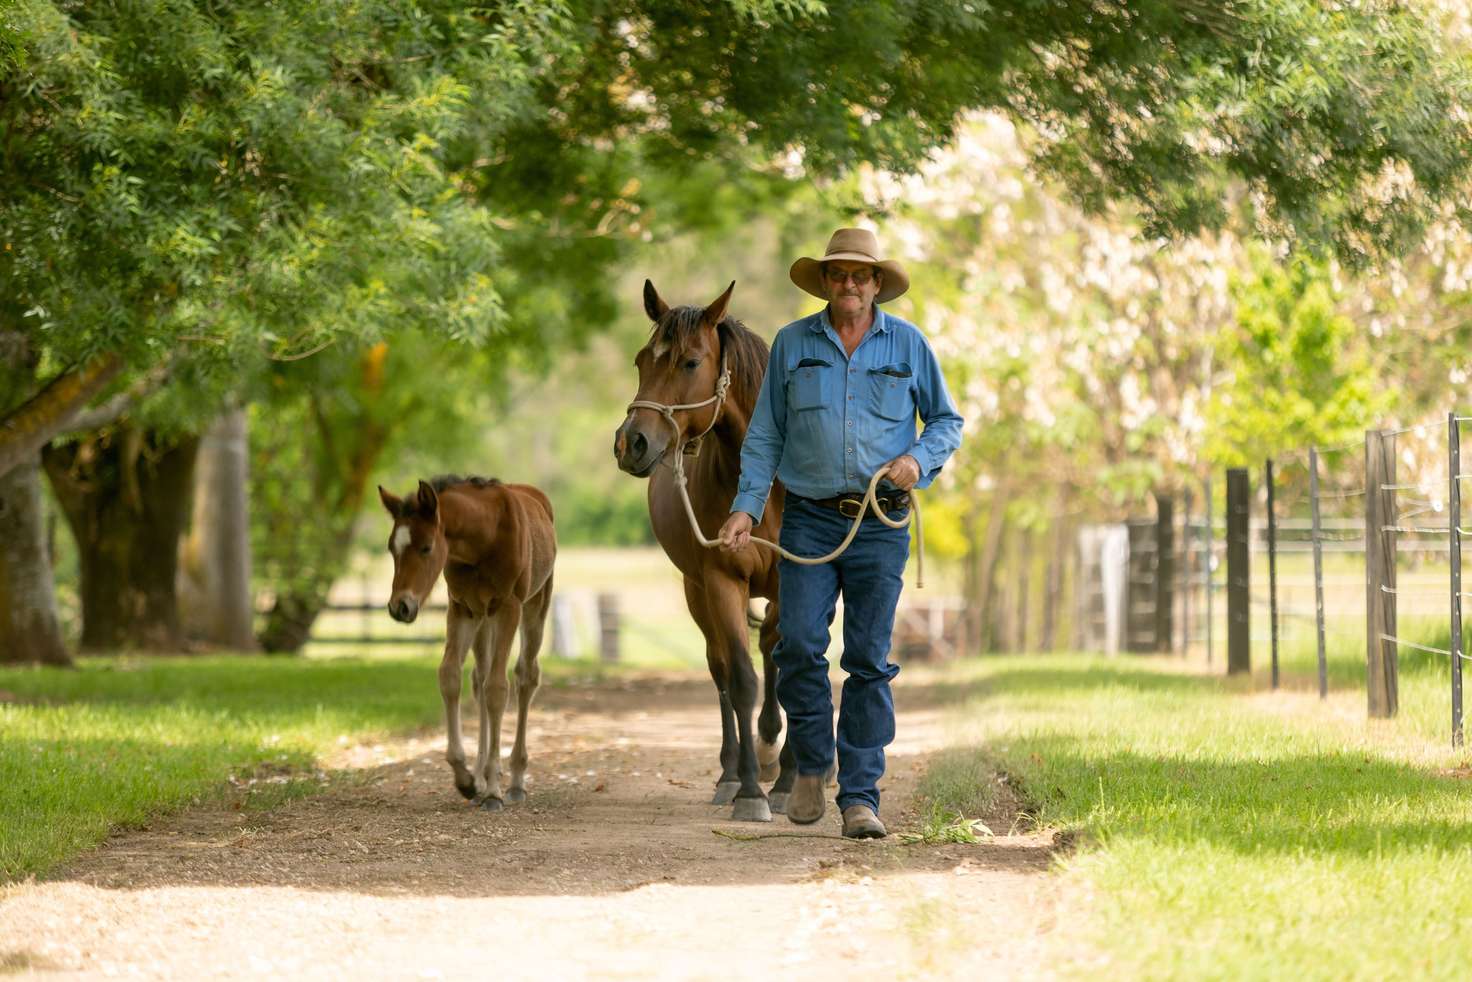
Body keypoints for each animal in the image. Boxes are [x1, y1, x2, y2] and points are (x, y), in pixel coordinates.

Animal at [379, 479, 556, 812]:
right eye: (392, 548)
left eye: (426, 547)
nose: (400, 607)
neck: (483, 540)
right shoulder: (462, 607)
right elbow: (450, 675)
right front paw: (466, 779)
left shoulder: (508, 606)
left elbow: (498, 689)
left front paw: (494, 792)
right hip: (482, 620)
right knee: (479, 678)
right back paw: (482, 775)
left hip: (535, 604)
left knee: (525, 676)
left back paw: (514, 782)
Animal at [612, 282, 794, 824]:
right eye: (640, 360)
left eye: (691, 362)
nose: (630, 443)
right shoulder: (720, 581)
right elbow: (740, 679)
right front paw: (751, 791)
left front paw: (788, 779)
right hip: (696, 594)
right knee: (721, 671)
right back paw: (733, 773)